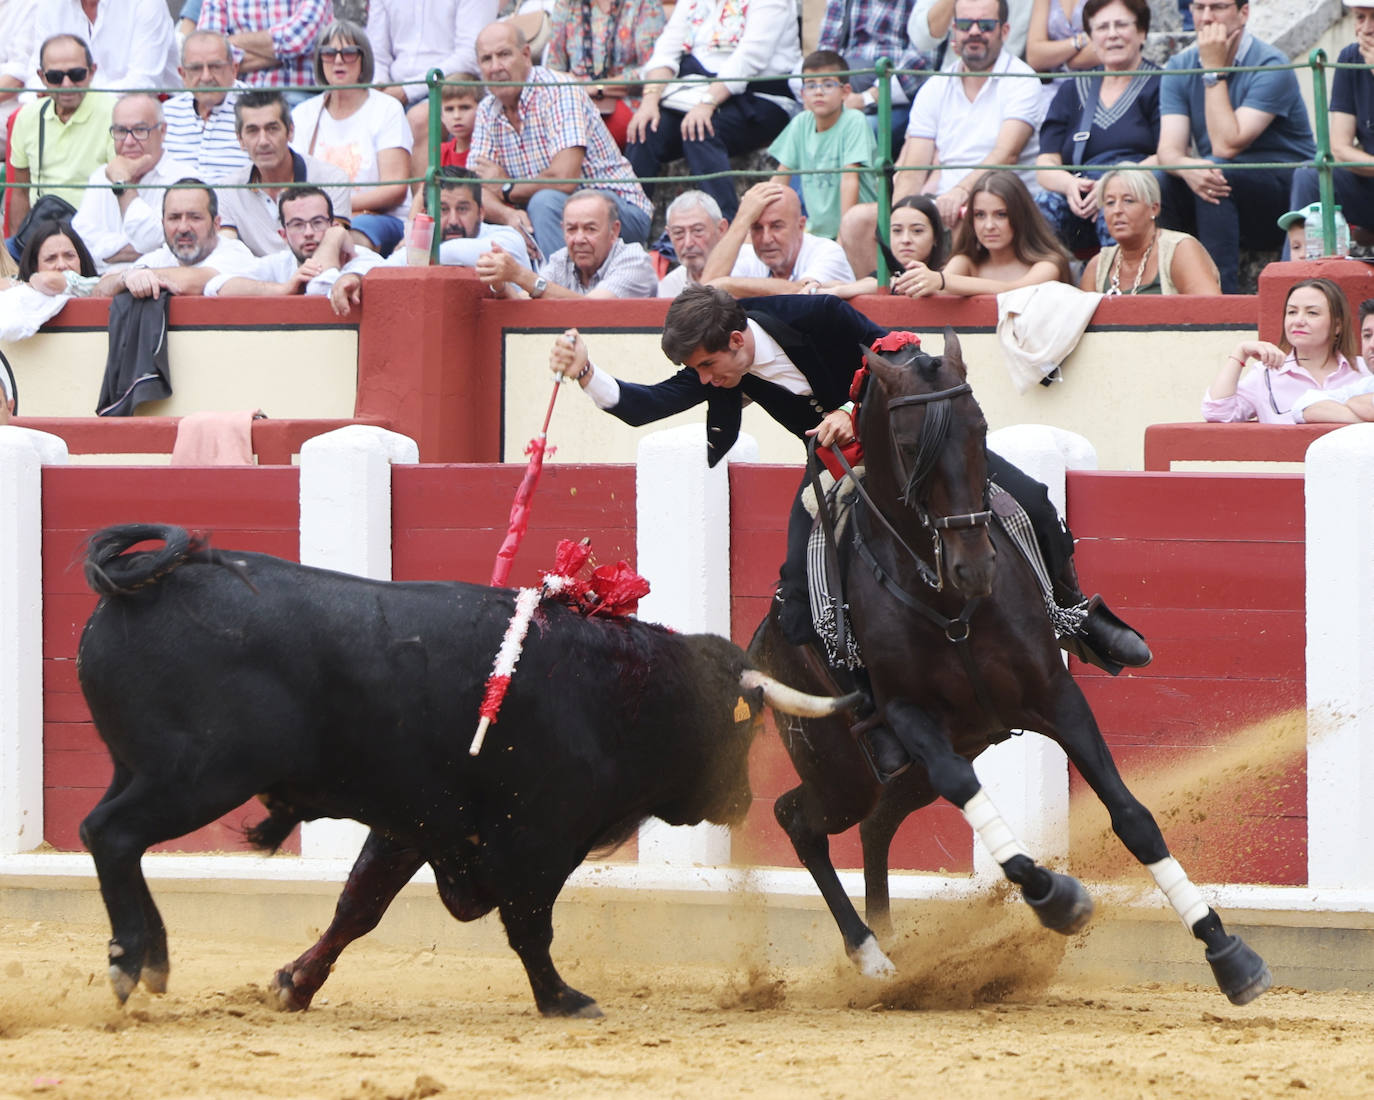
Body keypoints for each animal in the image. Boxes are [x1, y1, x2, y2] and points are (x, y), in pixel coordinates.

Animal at [77, 524, 857, 1021]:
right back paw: (131, 961)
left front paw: (293, 985)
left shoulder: (414, 824)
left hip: (142, 771)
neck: (620, 687)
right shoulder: (535, 838)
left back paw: (151, 958)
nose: (742, 800)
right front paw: (563, 1000)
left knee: (114, 839)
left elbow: (358, 907)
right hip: (196, 776)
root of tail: (139, 585)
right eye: (741, 728)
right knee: (110, 834)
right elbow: (529, 924)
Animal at [747, 326, 1269, 1005]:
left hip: (902, 774)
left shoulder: (1055, 695)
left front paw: (1226, 952)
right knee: (800, 820)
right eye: (911, 445)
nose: (974, 566)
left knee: (872, 825)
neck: (947, 598)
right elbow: (971, 796)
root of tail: (762, 639)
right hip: (845, 770)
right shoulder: (910, 717)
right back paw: (872, 956)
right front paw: (1056, 898)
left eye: (981, 431)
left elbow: (1132, 817)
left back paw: (894, 948)